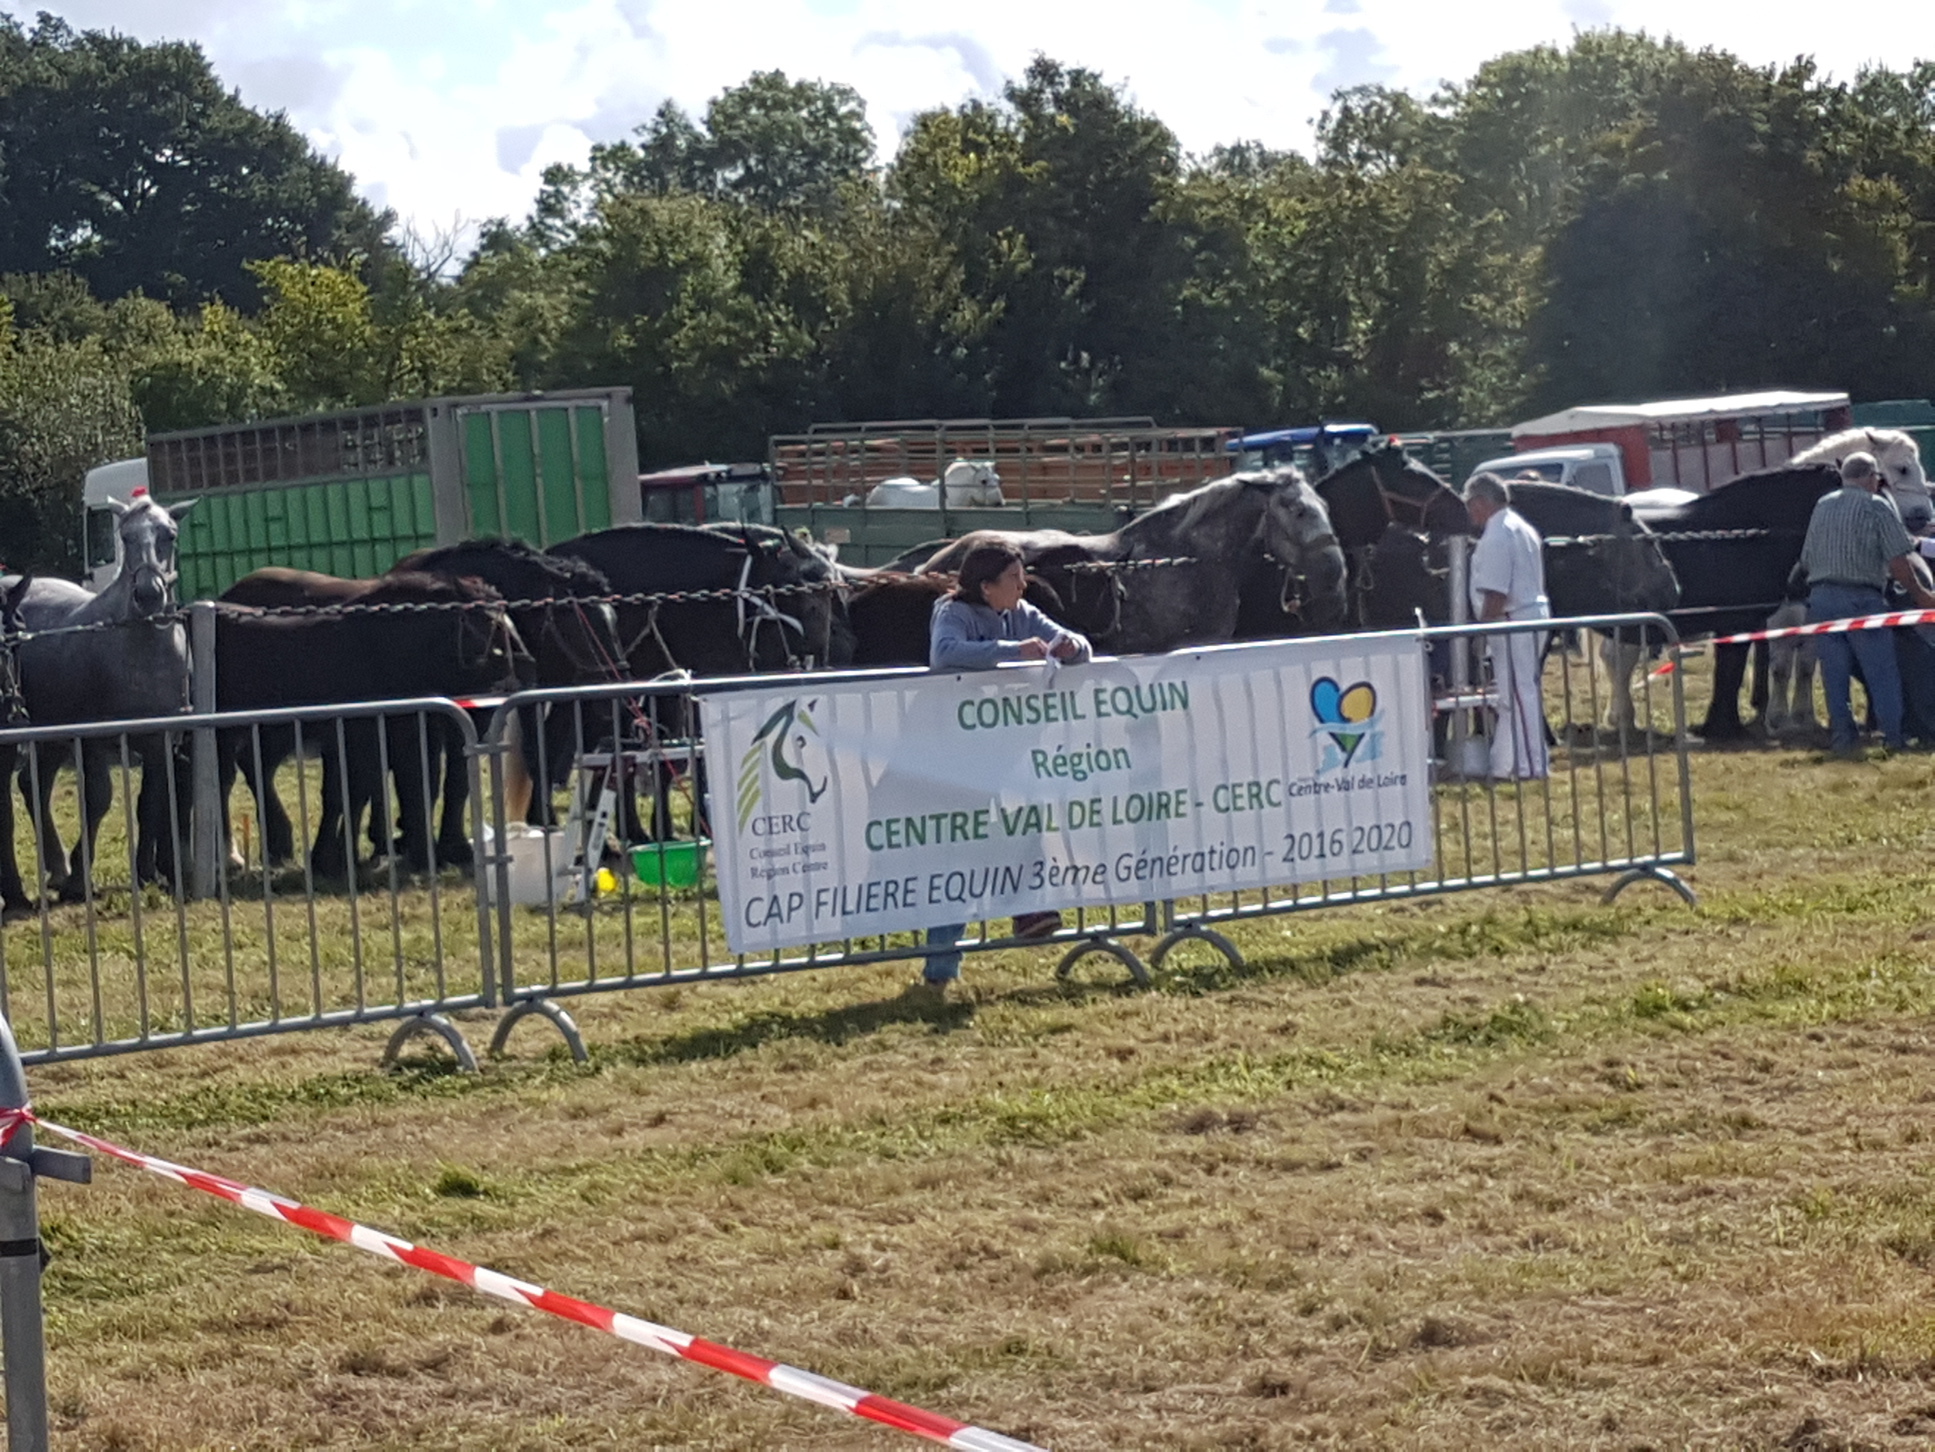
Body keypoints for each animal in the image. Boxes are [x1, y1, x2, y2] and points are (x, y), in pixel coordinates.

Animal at [0, 499, 193, 909]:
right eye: (125, 536)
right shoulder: (91, 740)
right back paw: (61, 872)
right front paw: (79, 879)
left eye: (169, 535)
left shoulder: (161, 739)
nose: (148, 594)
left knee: (33, 786)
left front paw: (147, 871)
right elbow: (99, 799)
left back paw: (56, 868)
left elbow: (151, 799)